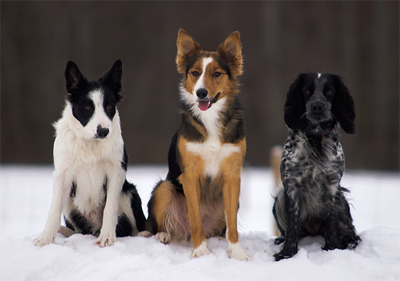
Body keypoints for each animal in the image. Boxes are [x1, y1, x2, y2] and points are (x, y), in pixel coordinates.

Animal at [34, 60, 145, 246]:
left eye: (109, 106)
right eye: (87, 107)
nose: (103, 131)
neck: (90, 143)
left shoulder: (117, 170)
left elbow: (110, 207)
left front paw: (107, 237)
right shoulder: (62, 174)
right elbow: (54, 209)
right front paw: (45, 239)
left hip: (128, 192)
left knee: (134, 230)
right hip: (70, 202)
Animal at [145, 29, 250, 260]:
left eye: (216, 74)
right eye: (194, 73)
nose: (201, 92)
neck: (210, 118)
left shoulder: (232, 175)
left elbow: (233, 223)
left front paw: (237, 252)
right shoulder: (190, 175)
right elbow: (195, 219)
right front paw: (201, 251)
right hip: (164, 188)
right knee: (160, 225)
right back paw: (162, 235)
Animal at [274, 72, 360, 260]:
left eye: (329, 91)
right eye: (307, 91)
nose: (317, 107)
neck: (315, 139)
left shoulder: (333, 185)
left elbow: (331, 220)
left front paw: (332, 248)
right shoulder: (291, 185)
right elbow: (292, 226)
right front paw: (287, 253)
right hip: (279, 198)